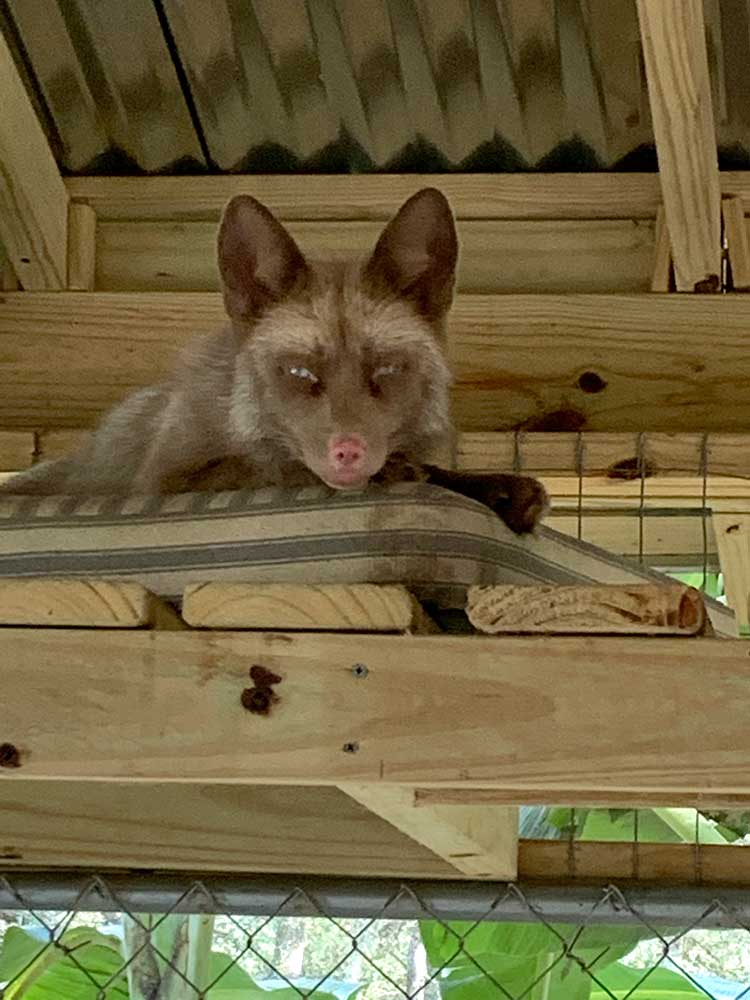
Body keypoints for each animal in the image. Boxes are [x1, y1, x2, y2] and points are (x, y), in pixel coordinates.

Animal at [2, 185, 548, 536]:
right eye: (299, 371)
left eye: (388, 369)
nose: (347, 452)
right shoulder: (164, 480)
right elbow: (269, 467)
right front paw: (401, 473)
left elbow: (434, 471)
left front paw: (497, 488)